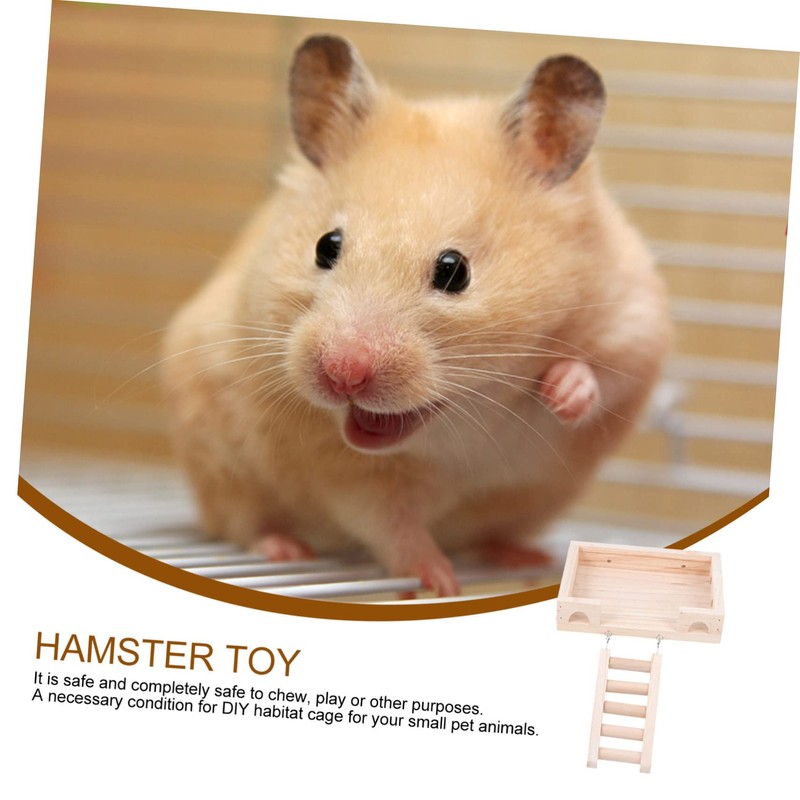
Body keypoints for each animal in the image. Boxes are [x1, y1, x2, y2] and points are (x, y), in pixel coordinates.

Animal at [161, 35, 671, 597]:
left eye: (454, 271)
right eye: (325, 246)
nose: (342, 375)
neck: (467, 417)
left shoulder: (635, 324)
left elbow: (604, 375)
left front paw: (562, 392)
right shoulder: (355, 478)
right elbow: (394, 529)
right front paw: (439, 584)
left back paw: (521, 554)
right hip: (218, 463)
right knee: (242, 523)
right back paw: (286, 548)